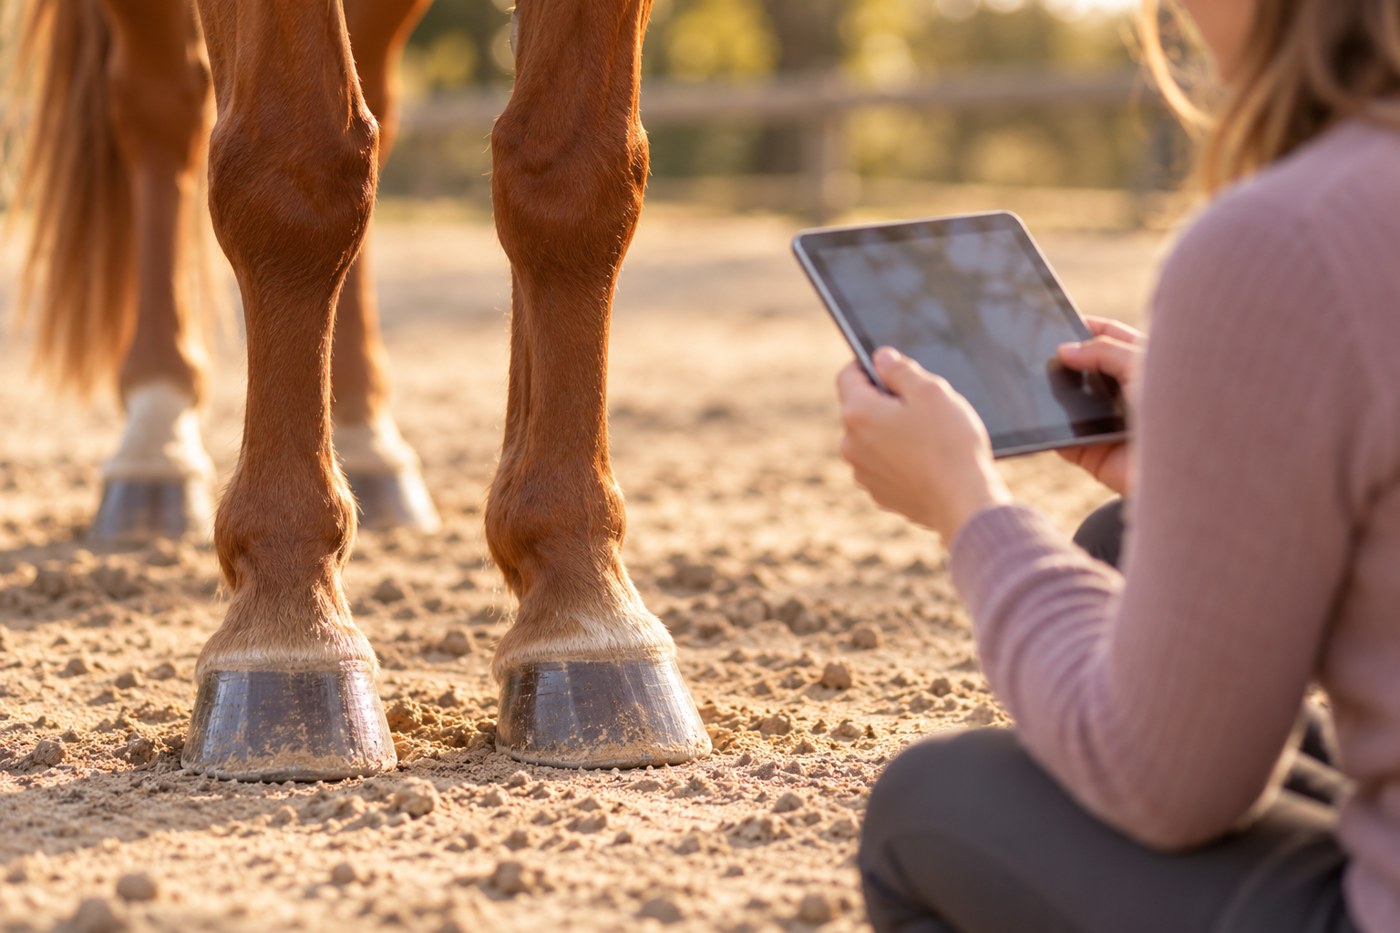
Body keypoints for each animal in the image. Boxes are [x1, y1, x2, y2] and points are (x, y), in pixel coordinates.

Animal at [1, 0, 711, 779]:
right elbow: (295, 167)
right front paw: (291, 621)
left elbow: (573, 175)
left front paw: (586, 597)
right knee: (163, 109)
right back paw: (155, 436)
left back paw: (366, 440)